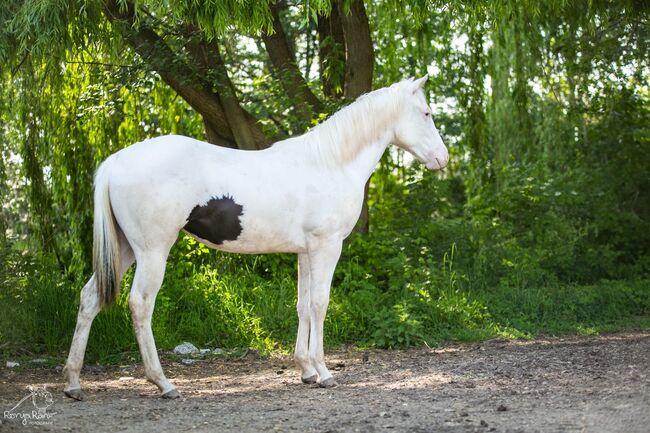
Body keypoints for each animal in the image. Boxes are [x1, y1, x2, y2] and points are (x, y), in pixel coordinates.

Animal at [62, 76, 446, 400]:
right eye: (426, 113)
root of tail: (116, 161)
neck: (330, 163)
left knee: (89, 298)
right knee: (140, 304)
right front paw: (323, 372)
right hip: (153, 252)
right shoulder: (327, 247)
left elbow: (303, 305)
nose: (443, 158)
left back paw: (73, 382)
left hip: (125, 250)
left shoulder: (306, 252)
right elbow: (320, 304)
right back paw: (163, 383)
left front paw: (305, 369)